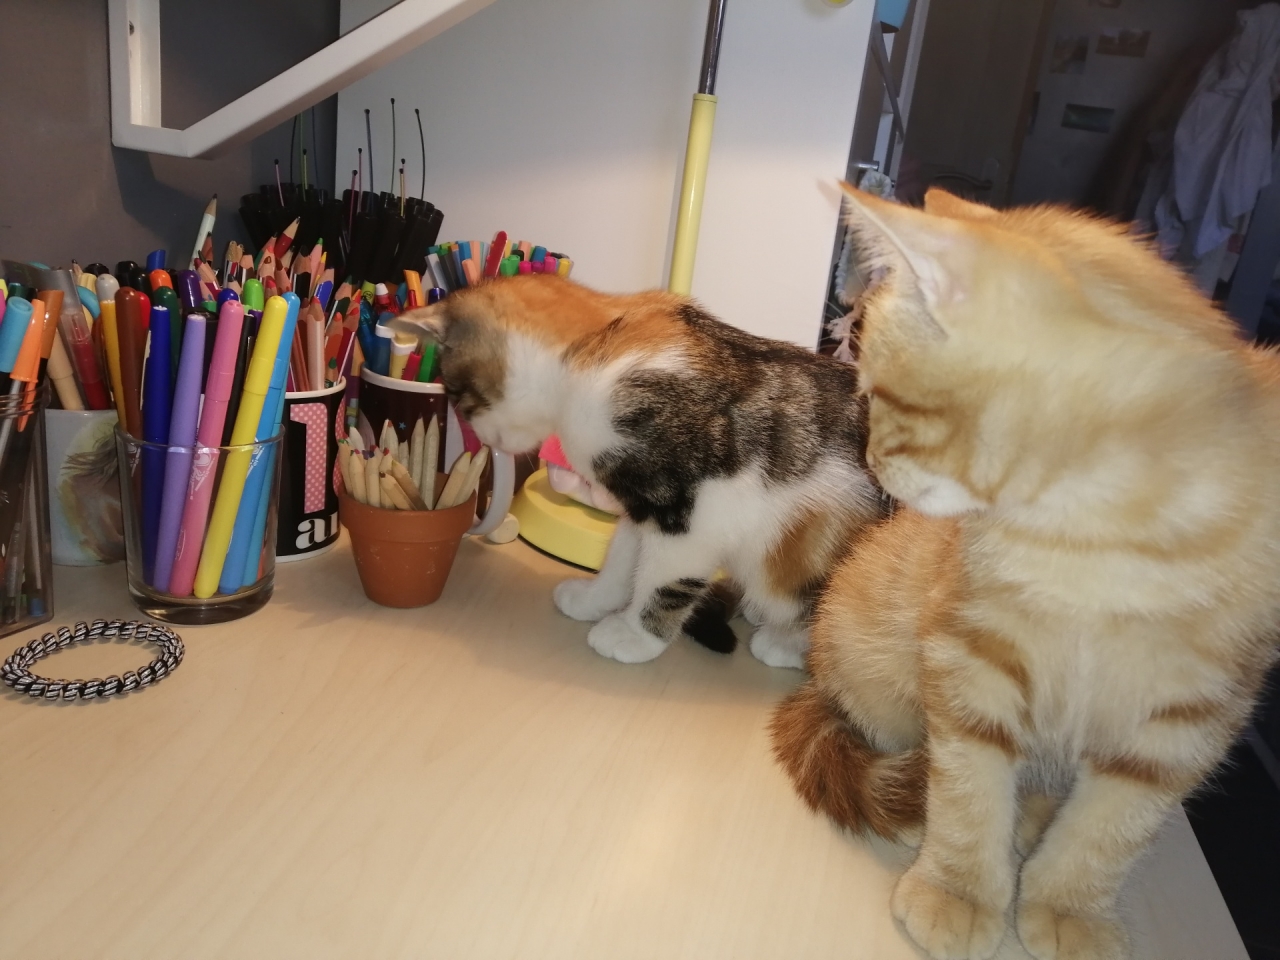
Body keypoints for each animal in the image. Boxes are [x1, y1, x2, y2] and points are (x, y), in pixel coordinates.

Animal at [394, 275, 886, 667]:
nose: (482, 439)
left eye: (457, 396)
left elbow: (664, 580)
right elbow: (623, 556)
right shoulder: (643, 499)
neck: (600, 342)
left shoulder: (692, 516)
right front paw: (595, 599)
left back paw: (785, 644)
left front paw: (634, 636)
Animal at [771, 184, 1280, 960]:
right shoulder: (969, 657)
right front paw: (956, 889)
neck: (1094, 543)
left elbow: (1113, 826)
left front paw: (1071, 906)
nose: (873, 463)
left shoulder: (1192, 713)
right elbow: (968, 790)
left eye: (880, 393)